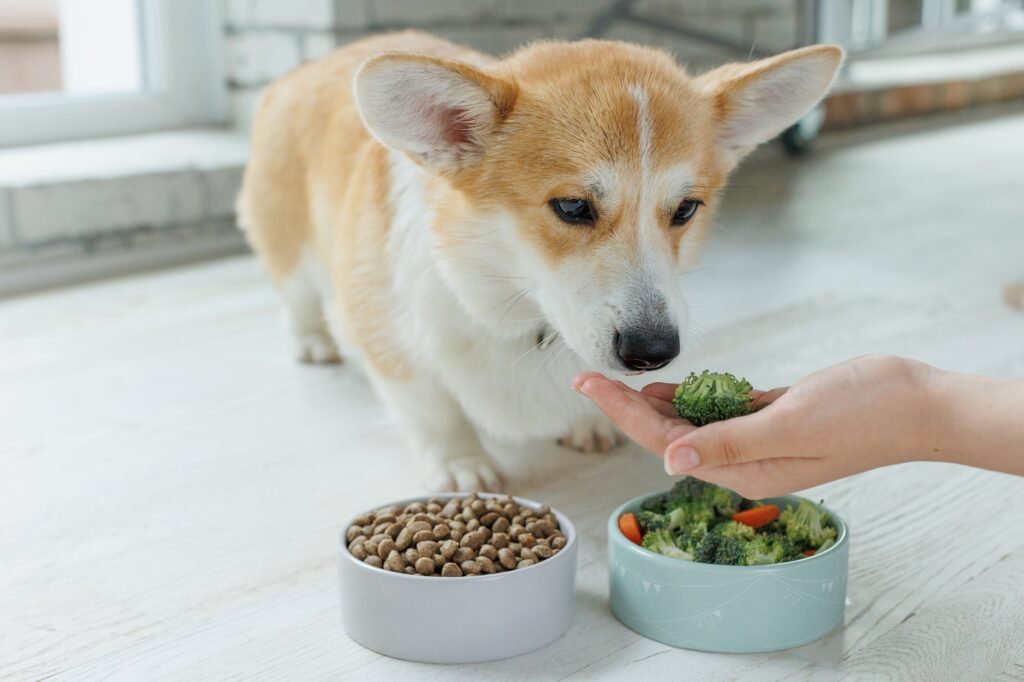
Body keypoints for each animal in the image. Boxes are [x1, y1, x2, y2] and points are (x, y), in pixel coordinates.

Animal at [237, 31, 839, 489]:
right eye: (572, 207)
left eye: (686, 209)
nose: (653, 353)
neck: (515, 303)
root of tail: (308, 66)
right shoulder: (388, 335)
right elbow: (432, 408)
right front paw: (462, 466)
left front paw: (585, 424)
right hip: (286, 238)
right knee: (295, 292)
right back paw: (311, 340)